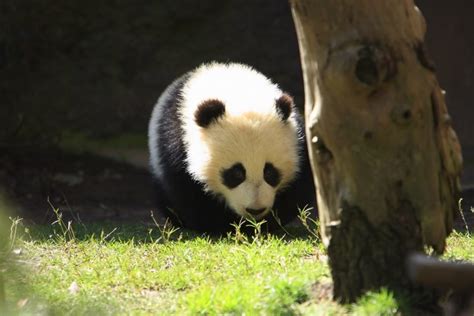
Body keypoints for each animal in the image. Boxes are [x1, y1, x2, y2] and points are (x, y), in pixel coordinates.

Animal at [148, 63, 316, 233]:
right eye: (236, 173)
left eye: (269, 171)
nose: (255, 210)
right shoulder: (177, 143)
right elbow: (189, 195)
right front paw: (223, 224)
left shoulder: (299, 141)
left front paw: (265, 222)